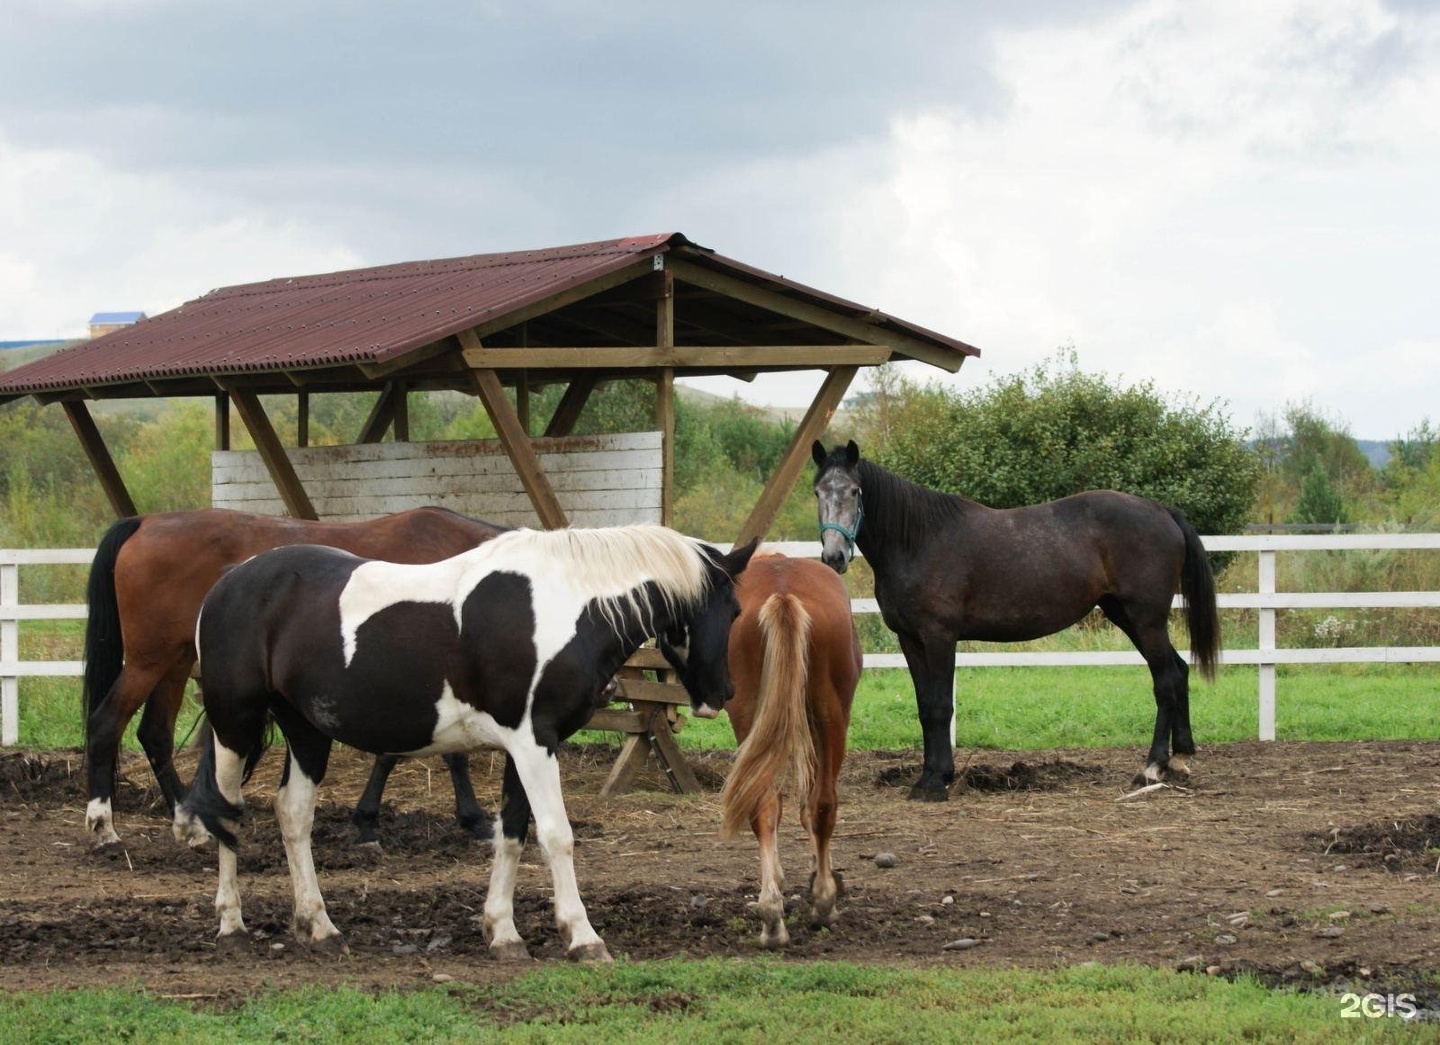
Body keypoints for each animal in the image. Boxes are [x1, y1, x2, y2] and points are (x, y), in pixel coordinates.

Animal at [84, 506, 509, 852]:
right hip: (149, 660)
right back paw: (104, 826)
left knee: (155, 734)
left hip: (175, 661)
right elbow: (433, 754)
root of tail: (146, 521)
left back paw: (190, 822)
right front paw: (466, 819)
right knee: (106, 723)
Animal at [174, 526, 760, 961]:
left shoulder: (526, 747)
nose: (720, 695)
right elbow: (557, 836)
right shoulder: (533, 742)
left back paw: (318, 925)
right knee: (226, 811)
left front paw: (502, 932)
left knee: (292, 813)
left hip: (306, 730)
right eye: (729, 611)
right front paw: (582, 936)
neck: (563, 605)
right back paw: (231, 922)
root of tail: (228, 583)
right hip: (234, 723)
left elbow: (513, 834)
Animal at [717, 555, 852, 950]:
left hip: (755, 715)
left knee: (772, 806)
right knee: (819, 804)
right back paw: (816, 904)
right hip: (831, 716)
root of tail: (782, 593)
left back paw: (778, 915)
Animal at [812, 443, 1215, 800]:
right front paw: (929, 776)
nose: (833, 557)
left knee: (1165, 680)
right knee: (1179, 670)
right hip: (1127, 616)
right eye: (818, 491)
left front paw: (937, 782)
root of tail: (1160, 510)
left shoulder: (940, 637)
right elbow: (925, 706)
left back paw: (1152, 767)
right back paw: (1180, 760)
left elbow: (941, 706)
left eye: (854, 491)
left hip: (1146, 619)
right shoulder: (909, 639)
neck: (917, 541)